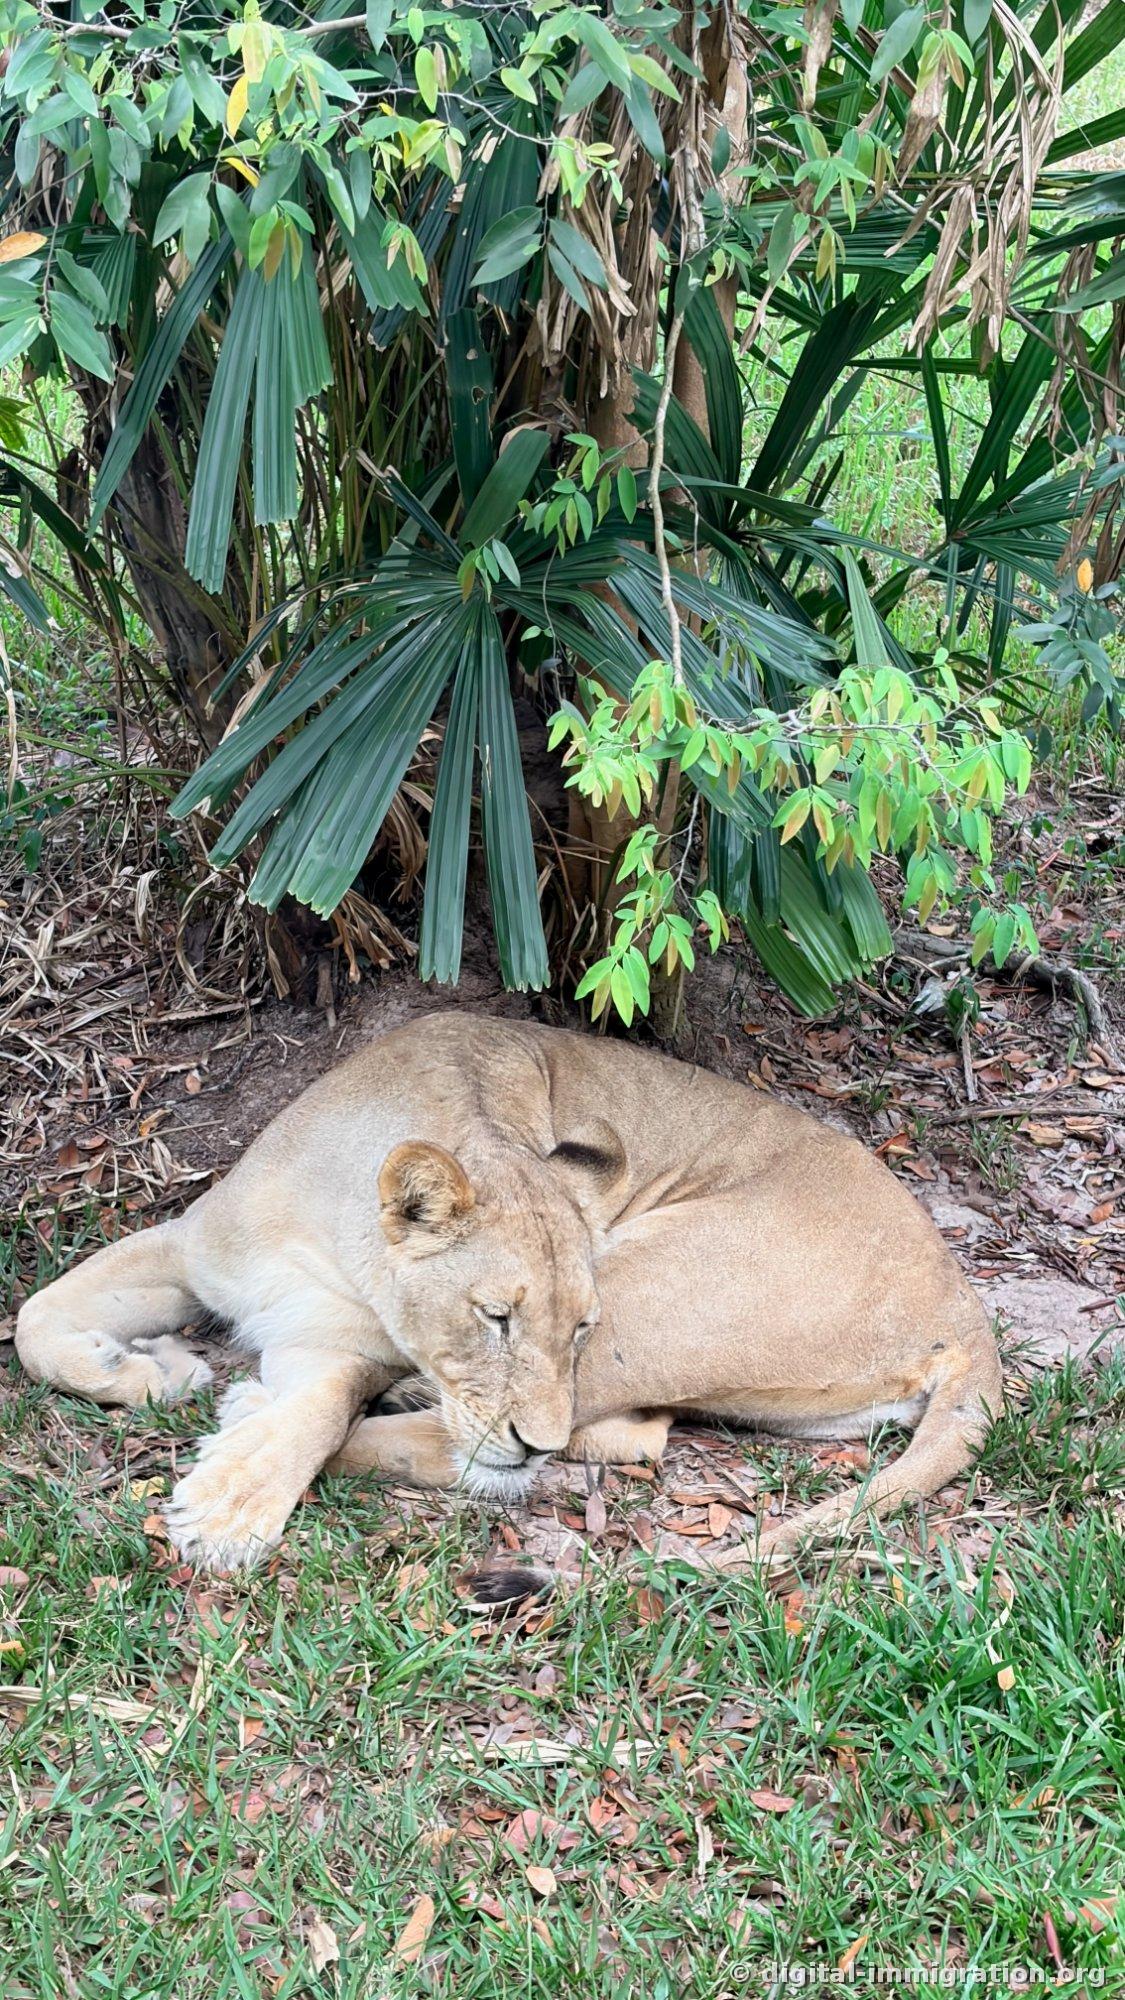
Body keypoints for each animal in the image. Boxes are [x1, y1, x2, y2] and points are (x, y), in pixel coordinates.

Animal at [14, 1012, 1001, 1569]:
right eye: (495, 1318)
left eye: (575, 1329)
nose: (538, 1441)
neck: (333, 1233)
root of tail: (970, 1321)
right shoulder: (192, 1247)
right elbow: (35, 1320)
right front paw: (148, 1372)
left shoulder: (342, 1351)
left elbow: (320, 1417)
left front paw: (229, 1508)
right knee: (634, 1433)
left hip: (657, 1285)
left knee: (586, 1438)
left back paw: (261, 1412)